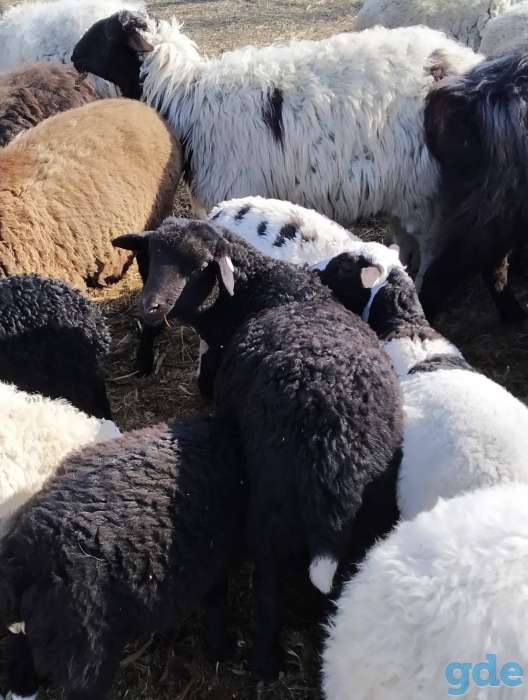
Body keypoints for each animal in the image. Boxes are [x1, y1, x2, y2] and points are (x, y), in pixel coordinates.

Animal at [0, 415, 245, 700]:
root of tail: (25, 560)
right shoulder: (217, 561)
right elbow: (217, 606)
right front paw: (223, 650)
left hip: (38, 631)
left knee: (18, 661)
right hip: (86, 653)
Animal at [72, 11, 481, 274]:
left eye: (106, 35)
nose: (74, 55)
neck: (185, 95)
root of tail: (461, 60)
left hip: (425, 190)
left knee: (430, 248)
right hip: (404, 188)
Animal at [115, 217, 403, 680]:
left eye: (198, 267)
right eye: (152, 257)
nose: (150, 308)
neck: (272, 292)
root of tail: (333, 441)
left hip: (268, 504)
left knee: (267, 590)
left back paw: (264, 663)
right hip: (372, 515)